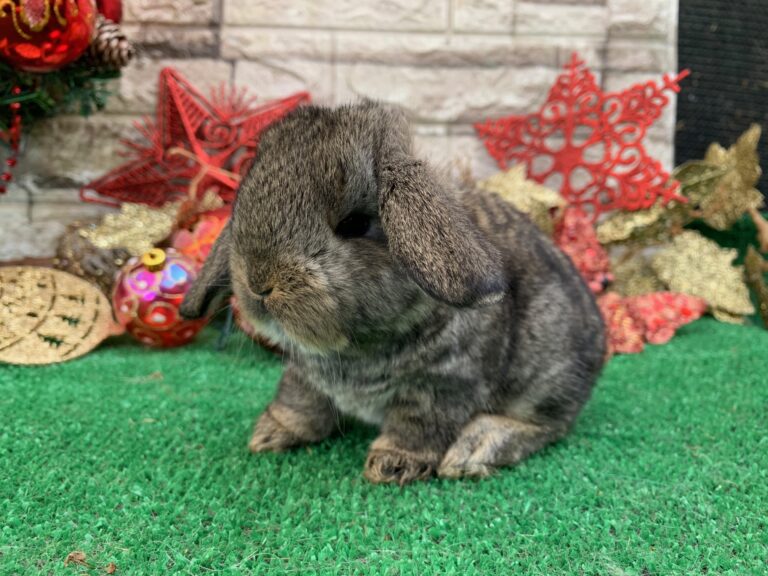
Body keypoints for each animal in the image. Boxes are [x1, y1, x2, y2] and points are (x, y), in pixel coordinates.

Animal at [182, 101, 608, 484]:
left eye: (354, 224)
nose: (258, 284)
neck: (359, 346)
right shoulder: (305, 375)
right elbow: (299, 401)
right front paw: (269, 435)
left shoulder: (442, 387)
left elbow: (416, 427)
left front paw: (392, 466)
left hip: (545, 379)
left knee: (544, 427)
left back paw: (473, 451)